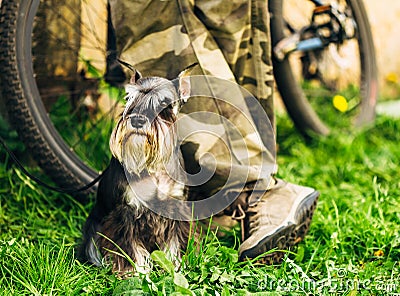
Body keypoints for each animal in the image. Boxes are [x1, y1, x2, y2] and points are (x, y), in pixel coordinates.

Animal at [79, 66, 192, 272]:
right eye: (129, 98)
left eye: (164, 104)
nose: (138, 120)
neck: (152, 167)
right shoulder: (125, 213)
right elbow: (129, 247)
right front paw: (137, 271)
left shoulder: (176, 209)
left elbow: (173, 242)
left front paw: (174, 266)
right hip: (93, 227)